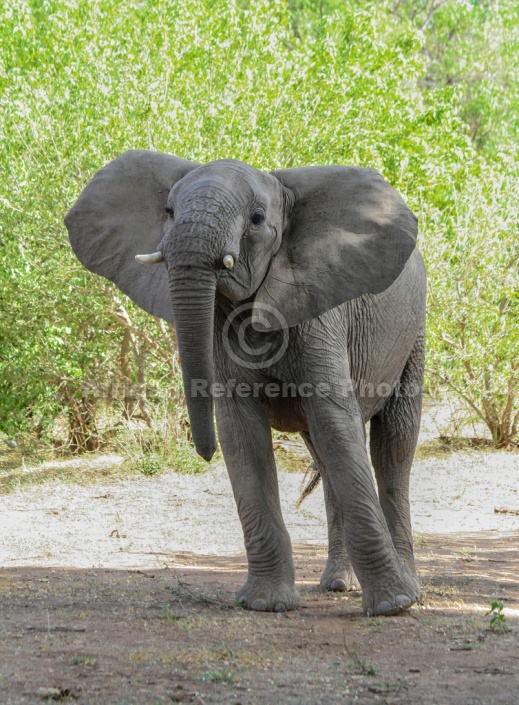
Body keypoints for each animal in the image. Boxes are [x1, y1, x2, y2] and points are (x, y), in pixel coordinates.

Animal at [66, 150, 426, 616]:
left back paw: (408, 589)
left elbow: (335, 423)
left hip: (414, 332)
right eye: (168, 211)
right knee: (326, 455)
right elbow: (241, 434)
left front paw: (392, 606)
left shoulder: (319, 315)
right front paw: (266, 604)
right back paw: (337, 585)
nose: (202, 453)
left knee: (392, 446)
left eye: (256, 219)